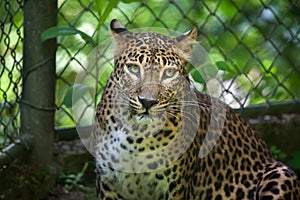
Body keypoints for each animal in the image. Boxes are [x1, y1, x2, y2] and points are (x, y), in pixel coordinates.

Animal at [92, 18, 298, 198]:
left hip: (281, 173)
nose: (147, 102)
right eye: (134, 69)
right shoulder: (108, 184)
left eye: (169, 73)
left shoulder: (176, 188)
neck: (136, 136)